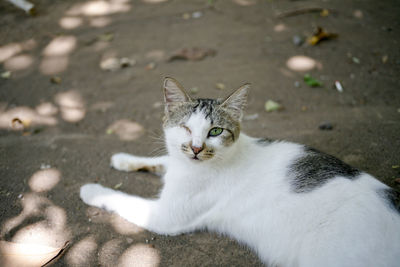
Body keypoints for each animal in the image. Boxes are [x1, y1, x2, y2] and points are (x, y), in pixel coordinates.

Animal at [80, 77, 400, 267]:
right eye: (186, 128)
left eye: (215, 131)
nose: (196, 148)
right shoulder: (177, 164)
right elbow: (161, 160)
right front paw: (123, 158)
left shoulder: (165, 217)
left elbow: (121, 198)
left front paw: (91, 189)